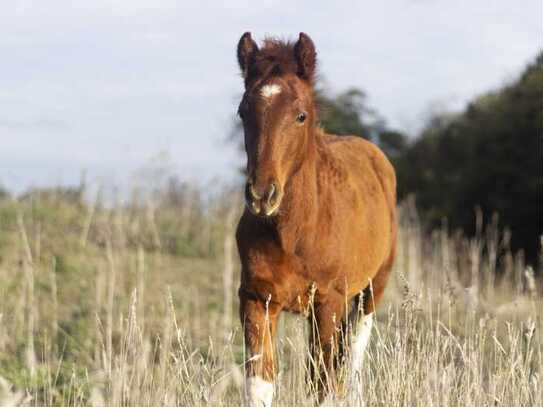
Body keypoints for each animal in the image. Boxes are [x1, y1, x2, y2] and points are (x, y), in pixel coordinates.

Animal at [236, 32, 398, 407]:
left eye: (300, 115)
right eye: (242, 112)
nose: (261, 195)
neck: (296, 231)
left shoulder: (329, 301)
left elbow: (324, 386)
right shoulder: (256, 299)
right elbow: (260, 382)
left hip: (371, 290)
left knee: (353, 358)